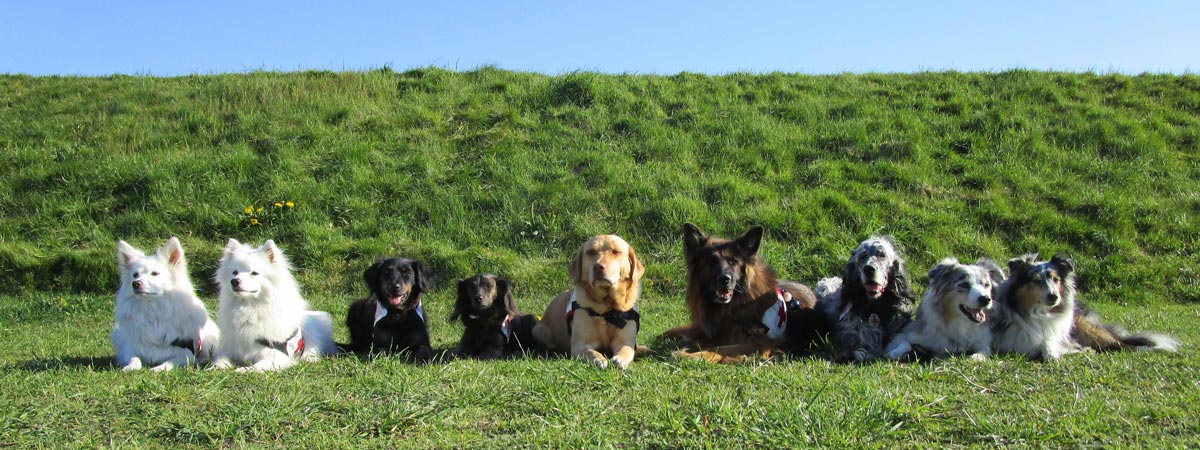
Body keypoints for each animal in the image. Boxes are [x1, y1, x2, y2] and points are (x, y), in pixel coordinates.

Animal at [111, 237, 222, 372]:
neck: (153, 308)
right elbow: (134, 358)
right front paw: (130, 367)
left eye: (154, 273)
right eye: (135, 275)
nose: (135, 283)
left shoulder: (186, 352)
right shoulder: (131, 349)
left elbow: (171, 361)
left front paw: (159, 368)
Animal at [213, 237, 336, 372]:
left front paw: (241, 370)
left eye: (254, 273)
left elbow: (256, 366)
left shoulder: (277, 356)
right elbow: (219, 360)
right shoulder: (230, 347)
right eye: (234, 272)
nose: (234, 281)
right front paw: (214, 368)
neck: (251, 309)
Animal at [662, 224, 830, 364]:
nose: (725, 279)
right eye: (711, 262)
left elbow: (717, 348)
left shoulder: (760, 343)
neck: (734, 306)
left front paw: (689, 355)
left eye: (733, 262)